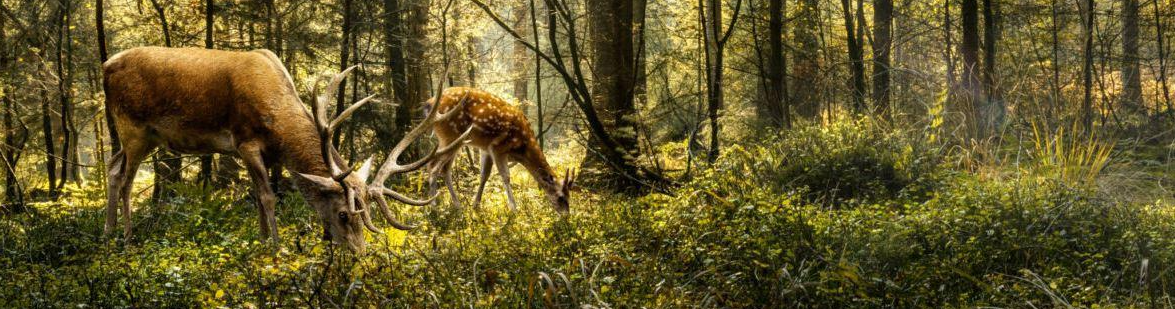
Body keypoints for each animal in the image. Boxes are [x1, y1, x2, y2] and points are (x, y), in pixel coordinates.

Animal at [102, 46, 467, 254]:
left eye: (368, 216)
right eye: (344, 214)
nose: (359, 254)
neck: (278, 122)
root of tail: (106, 65)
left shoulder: (259, 153)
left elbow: (256, 197)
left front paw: (261, 243)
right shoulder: (245, 141)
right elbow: (267, 197)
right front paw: (276, 249)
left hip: (144, 137)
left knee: (112, 166)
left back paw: (107, 232)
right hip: (132, 126)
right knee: (126, 179)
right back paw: (127, 239)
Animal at [427, 86, 573, 213]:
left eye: (569, 195)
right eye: (561, 197)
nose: (566, 215)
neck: (522, 148)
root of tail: (430, 104)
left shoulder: (486, 148)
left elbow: (484, 176)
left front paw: (475, 206)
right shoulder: (498, 146)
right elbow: (506, 176)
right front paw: (514, 209)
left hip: (453, 141)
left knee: (445, 169)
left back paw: (457, 206)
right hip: (450, 136)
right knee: (433, 166)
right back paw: (434, 206)